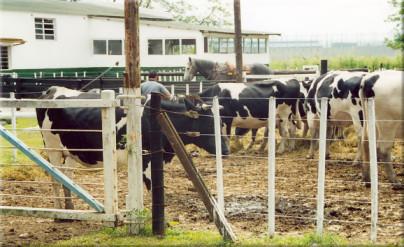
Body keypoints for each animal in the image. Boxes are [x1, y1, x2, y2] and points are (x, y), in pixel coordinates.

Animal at [36, 86, 229, 208]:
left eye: (221, 122)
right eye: (208, 123)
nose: (226, 150)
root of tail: (51, 90)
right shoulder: (147, 159)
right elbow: (152, 188)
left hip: (70, 151)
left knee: (66, 176)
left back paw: (70, 208)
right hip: (52, 148)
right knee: (54, 177)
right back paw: (59, 211)